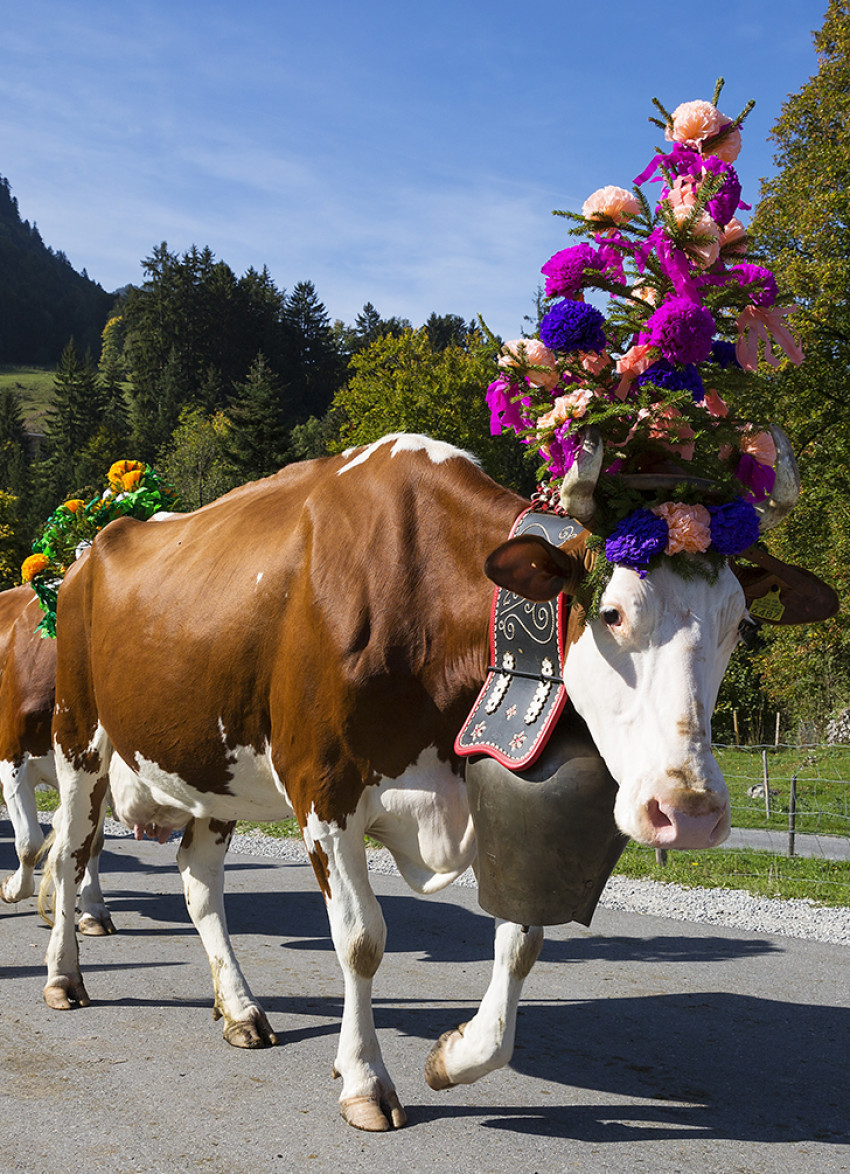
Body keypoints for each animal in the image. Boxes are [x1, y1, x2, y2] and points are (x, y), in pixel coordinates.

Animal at [41, 436, 835, 1131]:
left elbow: (520, 942)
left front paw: (454, 1058)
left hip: (214, 764)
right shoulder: (323, 789)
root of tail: (93, 548)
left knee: (199, 882)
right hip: (79, 734)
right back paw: (64, 978)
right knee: (69, 854)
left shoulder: (488, 791)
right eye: (613, 612)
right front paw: (365, 1082)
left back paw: (239, 1009)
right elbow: (361, 939)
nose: (690, 811)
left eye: (739, 623)